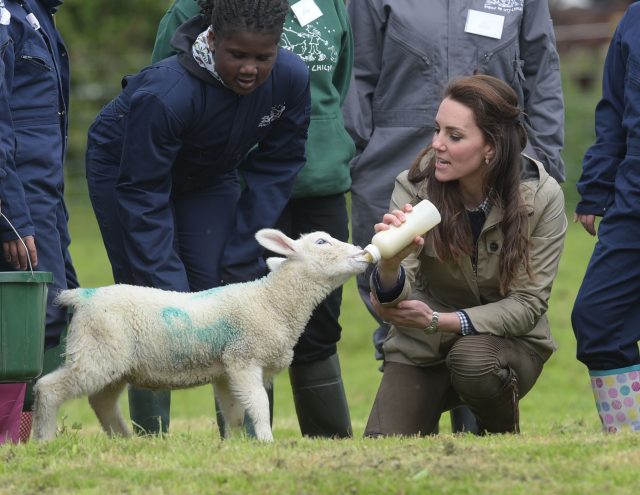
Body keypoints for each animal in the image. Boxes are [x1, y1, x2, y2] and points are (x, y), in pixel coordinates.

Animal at [31, 231, 370, 444]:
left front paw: (232, 444)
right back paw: (44, 439)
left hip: (113, 361)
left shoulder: (225, 370)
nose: (363, 253)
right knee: (48, 388)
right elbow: (259, 403)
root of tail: (82, 297)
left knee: (101, 402)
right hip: (96, 352)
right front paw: (266, 440)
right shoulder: (243, 357)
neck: (272, 301)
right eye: (322, 241)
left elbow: (233, 413)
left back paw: (125, 440)